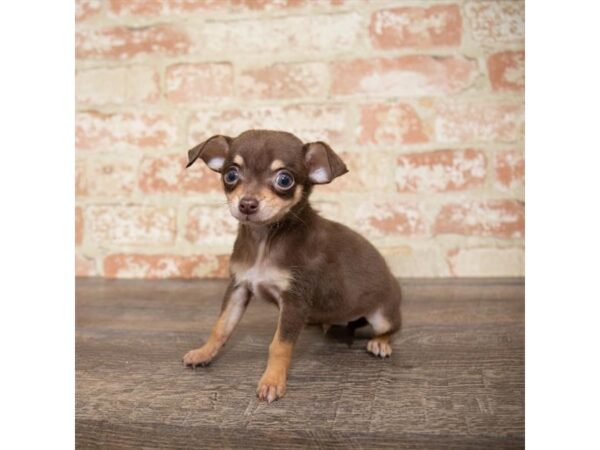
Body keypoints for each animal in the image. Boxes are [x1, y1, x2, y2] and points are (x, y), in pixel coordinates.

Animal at [180, 128, 400, 402]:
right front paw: (204, 352)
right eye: (231, 174)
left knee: (389, 328)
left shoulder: (295, 300)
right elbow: (221, 326)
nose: (247, 204)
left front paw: (272, 381)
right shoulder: (239, 287)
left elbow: (279, 345)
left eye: (284, 180)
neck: (265, 239)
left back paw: (380, 342)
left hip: (383, 315)